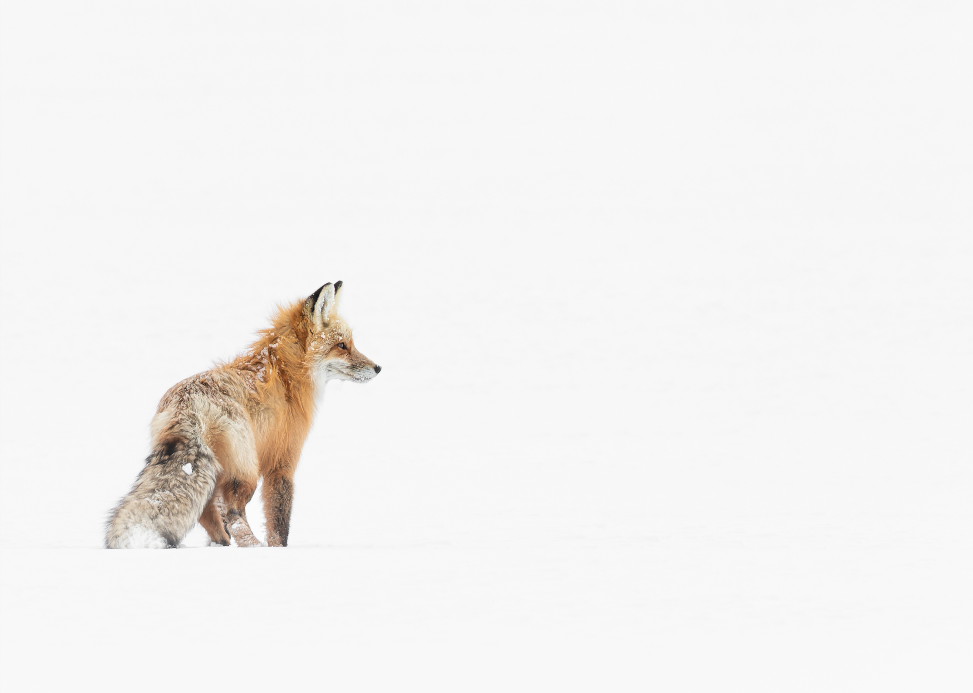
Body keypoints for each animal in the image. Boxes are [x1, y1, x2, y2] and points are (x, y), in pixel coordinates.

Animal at [105, 281, 380, 548]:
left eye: (350, 343)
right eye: (342, 345)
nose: (378, 367)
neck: (286, 374)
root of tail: (187, 403)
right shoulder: (282, 462)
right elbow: (279, 522)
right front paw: (278, 549)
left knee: (208, 511)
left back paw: (222, 544)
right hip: (246, 471)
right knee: (233, 513)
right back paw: (252, 546)